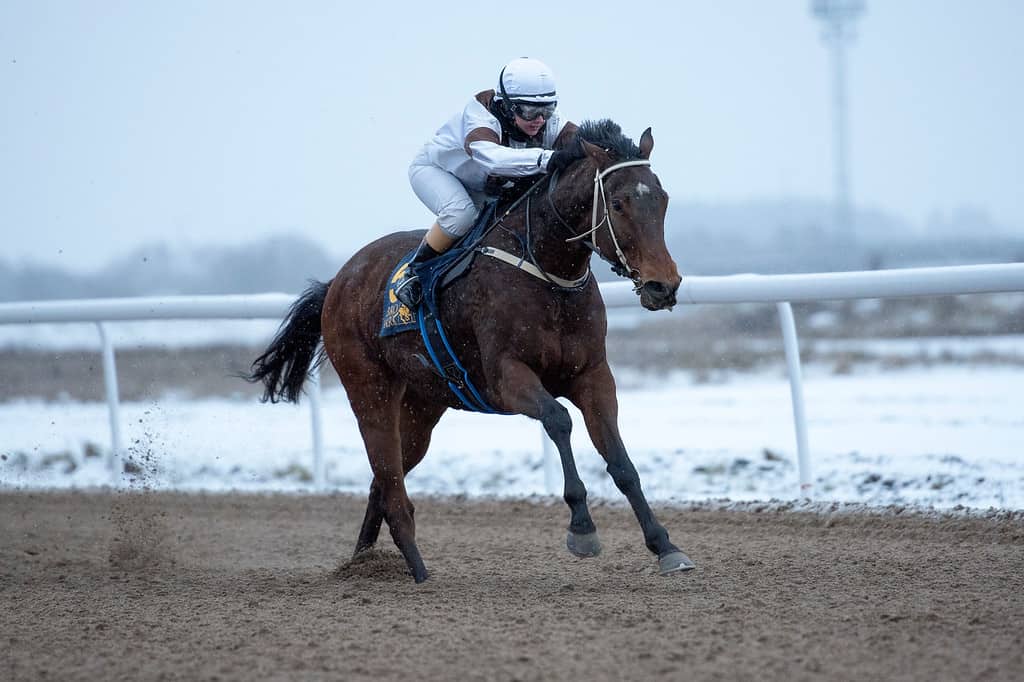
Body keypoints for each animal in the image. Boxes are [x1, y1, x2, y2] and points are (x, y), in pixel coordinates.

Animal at [248, 119, 696, 581]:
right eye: (620, 204)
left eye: (661, 199)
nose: (663, 285)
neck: (547, 273)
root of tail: (338, 280)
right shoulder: (506, 377)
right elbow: (558, 420)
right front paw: (582, 528)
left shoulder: (593, 375)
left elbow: (621, 461)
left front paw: (665, 546)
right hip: (368, 390)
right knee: (389, 481)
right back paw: (417, 571)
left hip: (421, 408)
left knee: (382, 481)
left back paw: (364, 562)